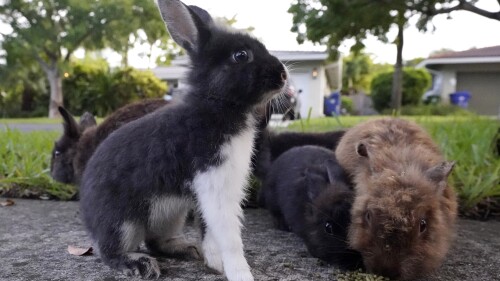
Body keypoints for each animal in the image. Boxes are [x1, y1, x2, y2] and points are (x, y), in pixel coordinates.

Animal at [80, 0, 288, 280]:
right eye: (241, 55)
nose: (283, 75)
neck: (216, 105)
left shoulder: (207, 192)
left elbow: (209, 230)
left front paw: (215, 263)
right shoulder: (214, 184)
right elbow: (229, 238)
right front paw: (240, 273)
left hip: (171, 213)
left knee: (155, 241)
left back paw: (187, 249)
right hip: (121, 222)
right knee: (110, 251)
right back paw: (140, 264)